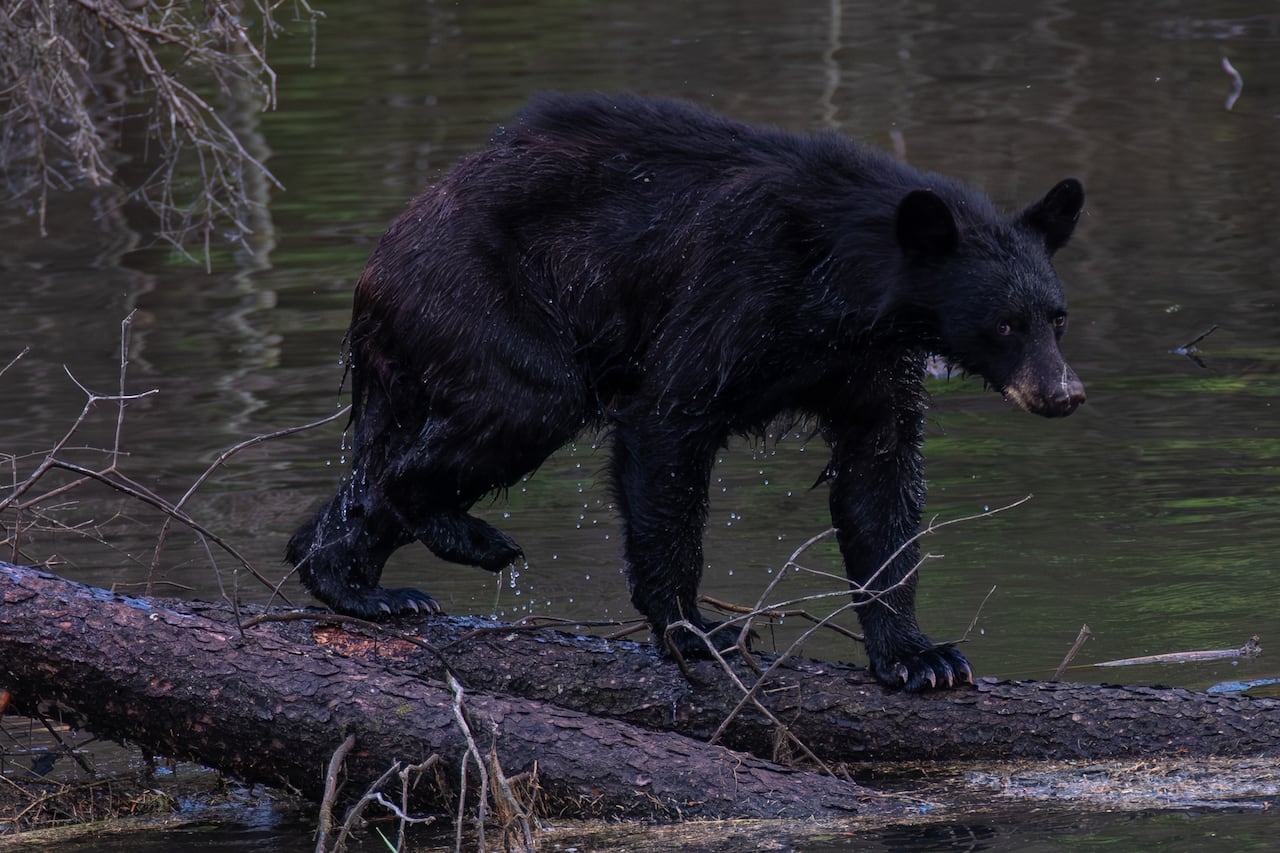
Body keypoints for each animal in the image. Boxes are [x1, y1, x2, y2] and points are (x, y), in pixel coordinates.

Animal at [287, 92, 1085, 692]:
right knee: (517, 406)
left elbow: (880, 479)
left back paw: (356, 582)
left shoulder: (872, 365)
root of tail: (383, 256)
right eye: (1004, 323)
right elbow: (668, 427)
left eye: (1055, 316)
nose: (1063, 393)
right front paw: (700, 629)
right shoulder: (737, 292)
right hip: (484, 300)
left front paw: (920, 655)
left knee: (380, 466)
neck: (848, 286)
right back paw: (467, 537)